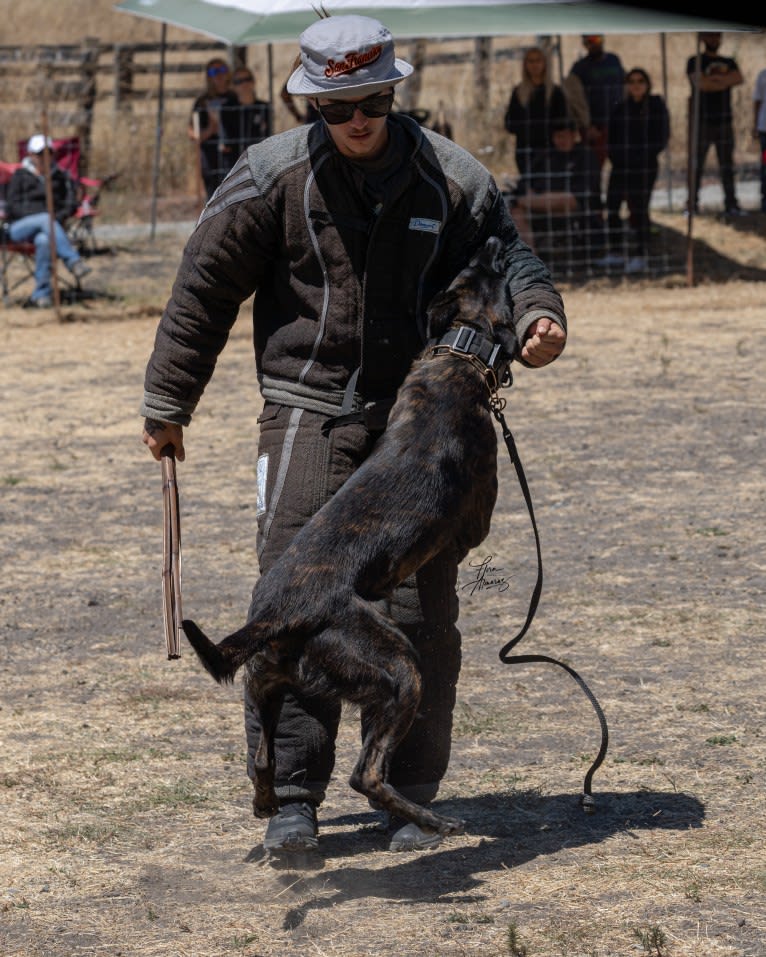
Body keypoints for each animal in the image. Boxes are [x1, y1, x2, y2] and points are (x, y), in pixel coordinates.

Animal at [185, 235, 520, 840]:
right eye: (488, 271)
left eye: (469, 269)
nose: (491, 238)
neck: (459, 351)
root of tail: (278, 614)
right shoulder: (477, 514)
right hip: (398, 668)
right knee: (365, 773)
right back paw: (433, 821)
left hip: (263, 685)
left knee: (264, 758)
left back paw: (269, 805)